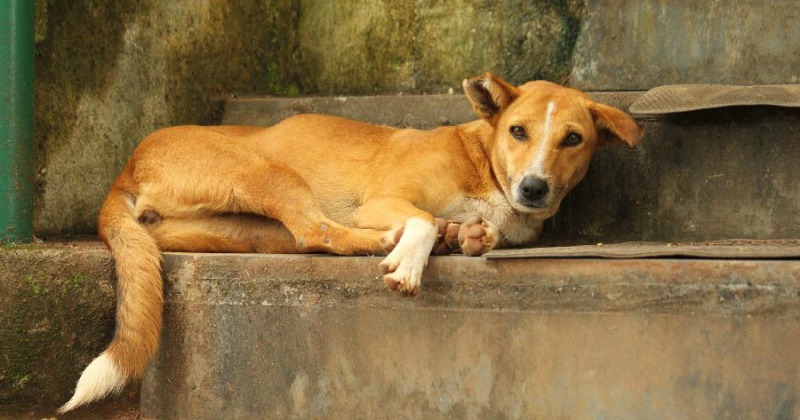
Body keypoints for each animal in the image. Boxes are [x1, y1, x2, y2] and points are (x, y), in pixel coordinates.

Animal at [57, 71, 644, 410]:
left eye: (573, 139)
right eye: (518, 131)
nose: (534, 188)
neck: (485, 166)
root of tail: (127, 168)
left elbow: (463, 227)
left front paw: (468, 234)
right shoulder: (385, 198)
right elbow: (421, 220)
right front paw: (411, 258)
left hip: (246, 226)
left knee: (306, 237)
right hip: (267, 171)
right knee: (321, 230)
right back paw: (391, 241)